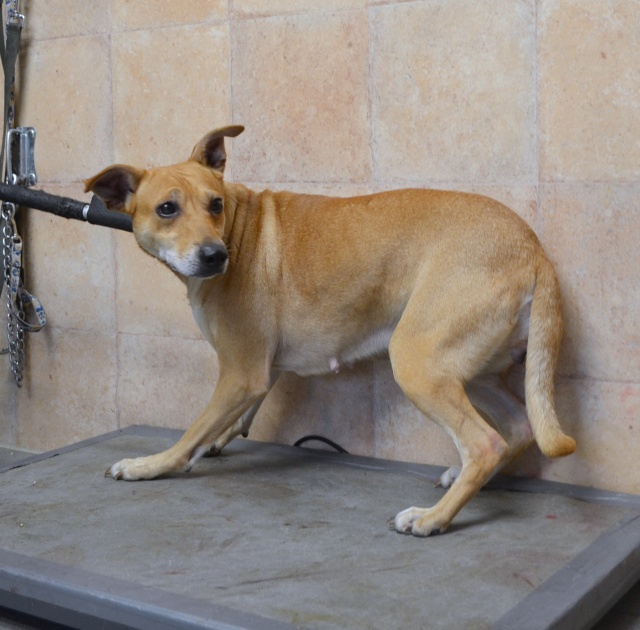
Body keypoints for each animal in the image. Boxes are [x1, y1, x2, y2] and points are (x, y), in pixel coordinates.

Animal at [85, 125, 576, 537]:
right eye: (167, 209)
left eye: (215, 204)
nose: (214, 256)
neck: (240, 228)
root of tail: (533, 249)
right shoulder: (261, 371)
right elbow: (229, 421)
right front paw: (213, 444)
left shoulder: (242, 372)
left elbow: (193, 430)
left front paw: (150, 465)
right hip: (471, 371)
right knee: (516, 429)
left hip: (418, 363)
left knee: (486, 443)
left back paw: (432, 519)